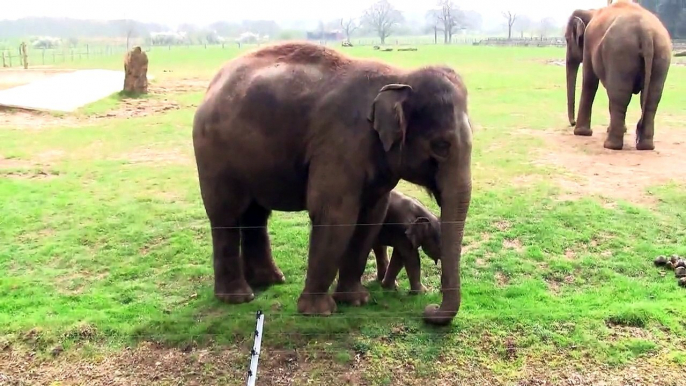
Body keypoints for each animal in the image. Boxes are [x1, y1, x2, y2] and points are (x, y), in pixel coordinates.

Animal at [194, 42, 472, 326]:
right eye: (441, 146)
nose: (429, 309)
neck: (400, 76)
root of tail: (214, 83)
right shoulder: (340, 142)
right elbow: (336, 214)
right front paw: (319, 312)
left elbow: (371, 216)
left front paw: (356, 300)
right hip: (214, 154)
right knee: (226, 214)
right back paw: (239, 297)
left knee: (256, 214)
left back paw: (269, 282)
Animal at [568, 0, 676, 150]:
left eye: (567, 40)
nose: (572, 123)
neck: (592, 11)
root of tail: (646, 32)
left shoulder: (589, 42)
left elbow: (590, 82)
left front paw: (581, 133)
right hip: (662, 53)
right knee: (652, 98)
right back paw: (645, 146)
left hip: (620, 51)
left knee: (619, 95)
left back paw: (611, 145)